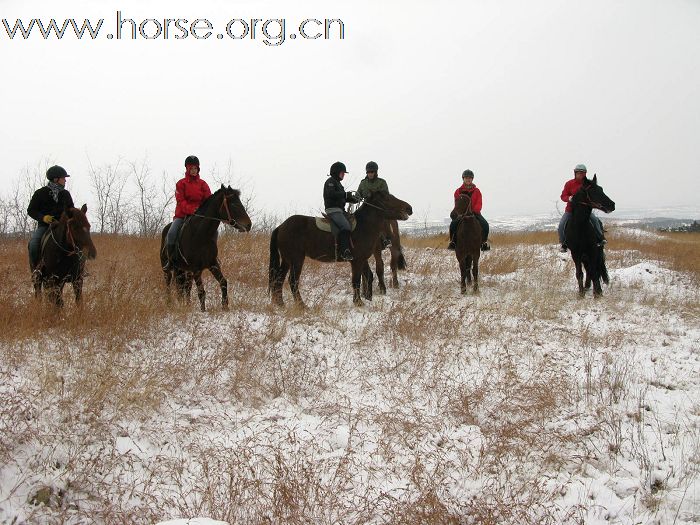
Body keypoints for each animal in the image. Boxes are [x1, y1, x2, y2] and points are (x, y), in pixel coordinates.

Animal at [266, 191, 410, 308]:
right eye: (387, 198)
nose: (409, 208)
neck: (363, 226)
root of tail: (281, 227)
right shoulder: (357, 261)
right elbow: (356, 281)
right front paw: (358, 302)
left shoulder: (362, 259)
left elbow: (367, 276)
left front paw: (366, 298)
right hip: (296, 259)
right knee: (293, 281)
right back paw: (302, 305)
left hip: (287, 260)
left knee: (279, 279)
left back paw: (280, 303)